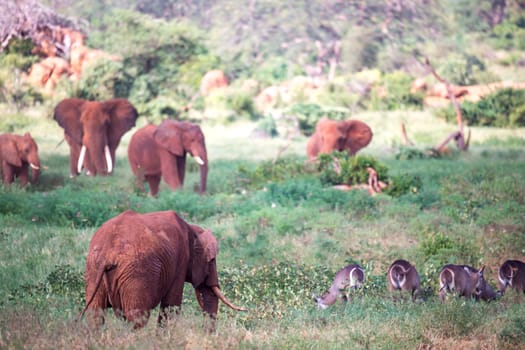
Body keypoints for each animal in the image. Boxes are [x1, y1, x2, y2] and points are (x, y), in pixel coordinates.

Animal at [82, 209, 246, 330]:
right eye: (211, 261)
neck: (191, 229)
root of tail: (108, 251)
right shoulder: (180, 260)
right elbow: (171, 306)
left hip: (93, 267)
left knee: (95, 315)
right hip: (136, 272)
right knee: (137, 317)